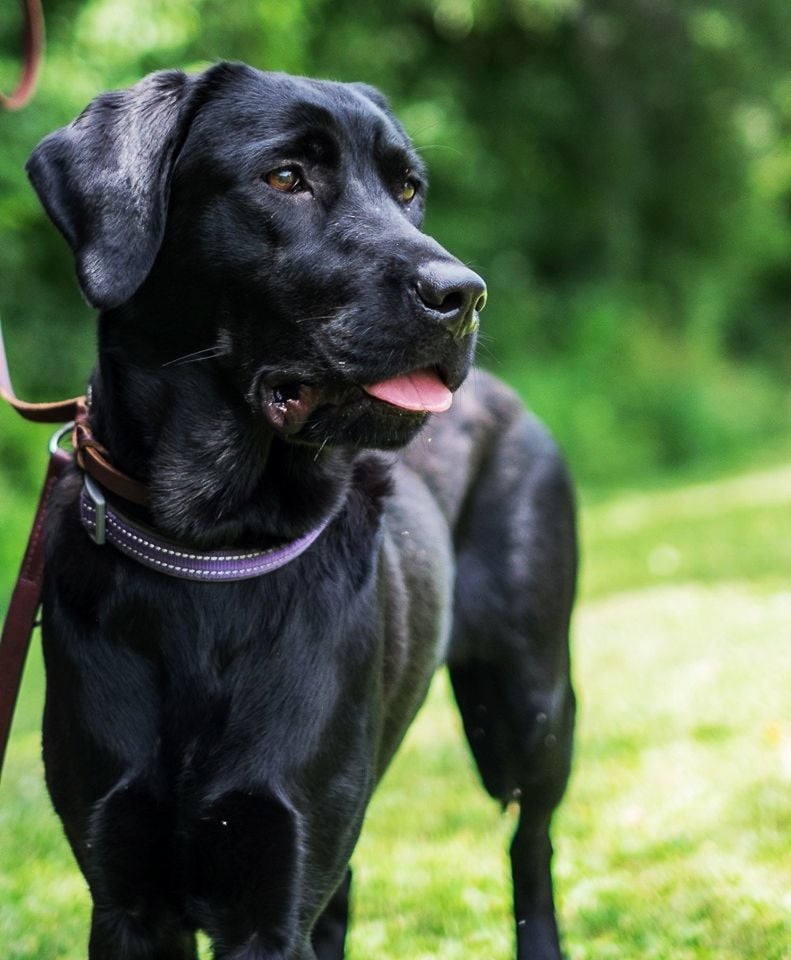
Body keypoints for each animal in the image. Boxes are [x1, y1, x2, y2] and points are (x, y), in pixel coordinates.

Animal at [27, 65, 580, 960]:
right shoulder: (125, 895)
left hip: (529, 703)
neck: (212, 548)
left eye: (407, 188)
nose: (463, 295)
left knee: (529, 841)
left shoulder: (275, 894)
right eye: (286, 177)